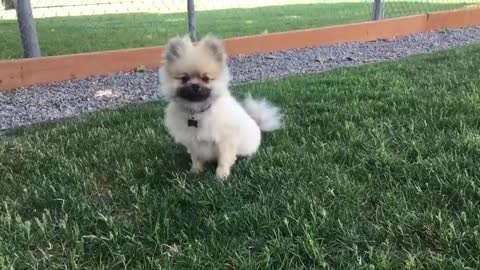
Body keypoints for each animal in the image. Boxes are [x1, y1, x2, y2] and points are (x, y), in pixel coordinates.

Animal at [159, 35, 284, 179]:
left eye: (206, 78)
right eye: (184, 78)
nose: (195, 85)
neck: (198, 112)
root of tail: (258, 126)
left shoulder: (226, 141)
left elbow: (224, 159)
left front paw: (221, 176)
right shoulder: (193, 143)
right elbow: (196, 158)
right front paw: (195, 171)